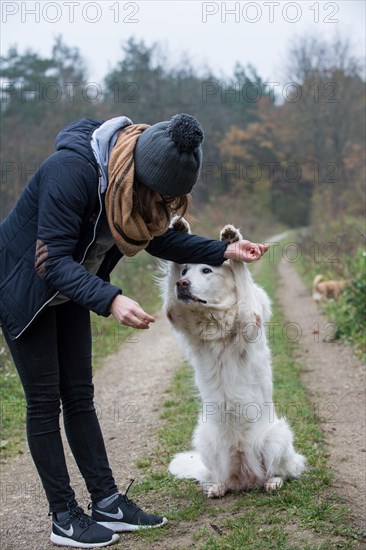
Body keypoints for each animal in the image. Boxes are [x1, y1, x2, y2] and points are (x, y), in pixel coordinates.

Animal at [161, 220, 306, 500]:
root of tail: (245, 479)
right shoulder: (176, 312)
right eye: (185, 270)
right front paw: (180, 228)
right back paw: (218, 487)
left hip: (277, 436)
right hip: (205, 439)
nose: (182, 283)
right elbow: (173, 291)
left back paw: (273, 482)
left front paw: (233, 242)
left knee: (281, 470)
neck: (214, 320)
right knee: (219, 477)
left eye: (207, 270)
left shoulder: (250, 318)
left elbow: (242, 279)